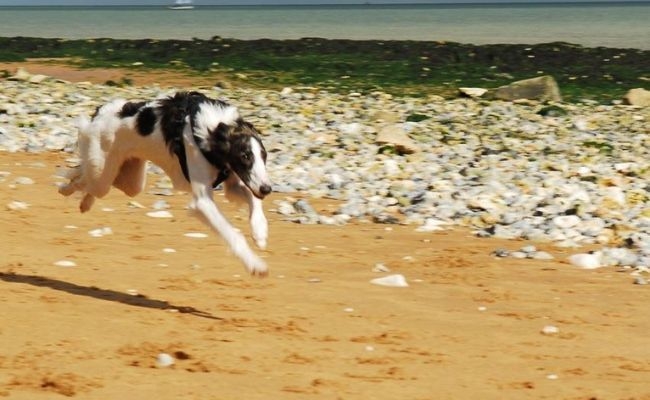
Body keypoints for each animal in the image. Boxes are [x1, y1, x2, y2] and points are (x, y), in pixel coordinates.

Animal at [60, 92, 270, 276]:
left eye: (264, 156)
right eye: (245, 156)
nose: (267, 189)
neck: (215, 129)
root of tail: (100, 112)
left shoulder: (233, 184)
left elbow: (254, 200)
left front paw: (260, 233)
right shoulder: (202, 202)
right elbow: (232, 233)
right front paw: (255, 265)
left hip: (130, 181)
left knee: (85, 176)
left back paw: (84, 202)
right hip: (103, 176)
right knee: (83, 180)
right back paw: (66, 189)